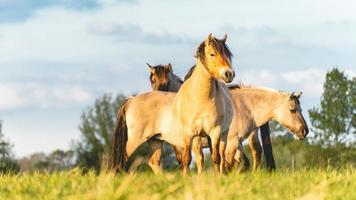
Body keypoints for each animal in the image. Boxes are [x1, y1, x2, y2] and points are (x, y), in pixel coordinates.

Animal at [110, 34, 235, 173]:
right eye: (212, 54)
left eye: (227, 55)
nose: (229, 73)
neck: (201, 98)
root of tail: (131, 100)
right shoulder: (188, 136)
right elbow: (187, 160)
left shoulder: (214, 133)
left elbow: (214, 159)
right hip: (136, 140)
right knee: (122, 163)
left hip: (156, 140)